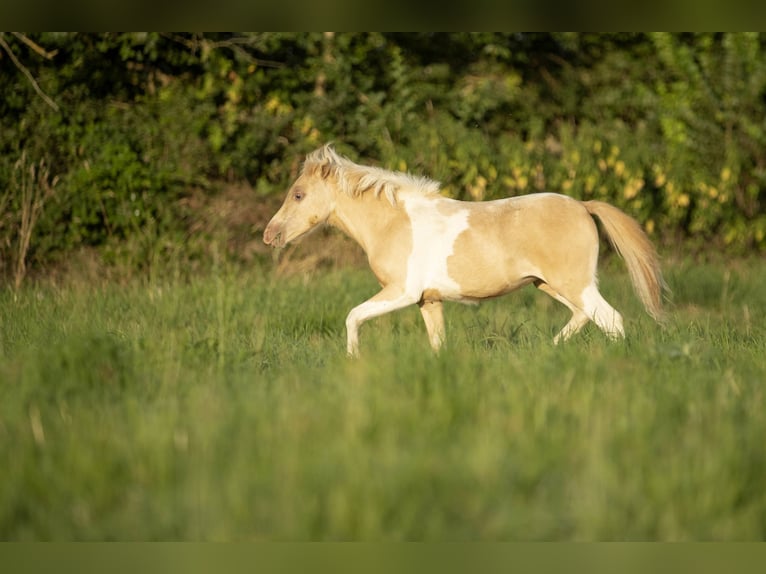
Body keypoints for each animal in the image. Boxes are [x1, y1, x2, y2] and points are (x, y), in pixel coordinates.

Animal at [264, 145, 664, 356]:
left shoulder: (401, 292)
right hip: (551, 285)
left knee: (611, 320)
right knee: (584, 317)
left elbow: (352, 317)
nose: (270, 235)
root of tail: (583, 205)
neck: (394, 223)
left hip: (574, 283)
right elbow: (437, 344)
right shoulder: (428, 300)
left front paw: (353, 361)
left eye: (298, 194)